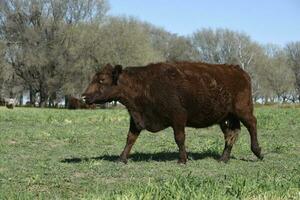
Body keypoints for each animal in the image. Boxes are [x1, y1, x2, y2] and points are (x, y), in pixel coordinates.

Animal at [82, 61, 262, 163]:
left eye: (102, 80)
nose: (84, 96)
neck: (145, 85)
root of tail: (237, 70)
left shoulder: (178, 117)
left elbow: (179, 138)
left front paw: (182, 159)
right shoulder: (136, 119)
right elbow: (130, 139)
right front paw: (121, 158)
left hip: (243, 110)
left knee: (252, 124)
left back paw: (258, 151)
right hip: (225, 117)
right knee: (231, 134)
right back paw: (223, 158)